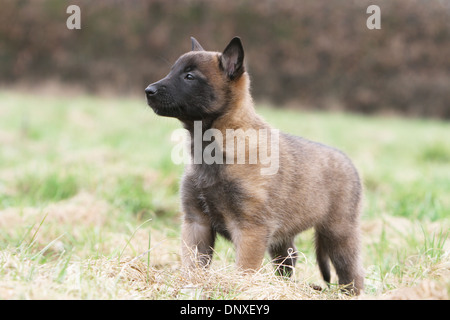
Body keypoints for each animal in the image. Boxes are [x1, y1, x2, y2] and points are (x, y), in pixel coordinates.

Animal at [146, 37, 364, 296]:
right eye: (171, 71)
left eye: (189, 76)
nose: (148, 91)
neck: (213, 148)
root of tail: (349, 162)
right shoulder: (196, 223)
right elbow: (193, 264)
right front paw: (191, 286)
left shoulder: (250, 229)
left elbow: (244, 269)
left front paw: (240, 289)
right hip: (284, 239)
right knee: (289, 259)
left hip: (339, 233)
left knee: (351, 272)